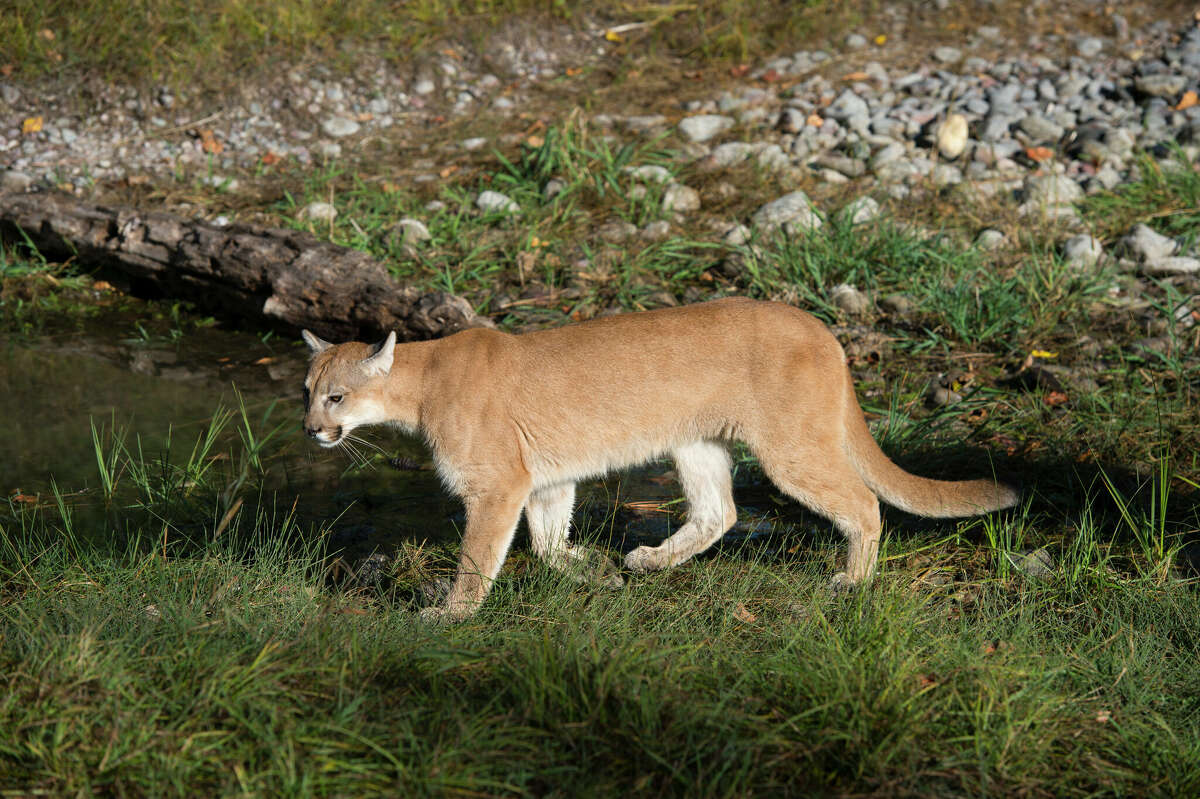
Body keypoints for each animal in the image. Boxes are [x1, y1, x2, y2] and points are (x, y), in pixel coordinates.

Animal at [300, 295, 1012, 619]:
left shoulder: (497, 485)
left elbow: (479, 557)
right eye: (305, 391)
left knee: (863, 501)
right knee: (719, 513)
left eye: (337, 397)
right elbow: (549, 540)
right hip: (694, 441)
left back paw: (853, 581)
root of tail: (819, 326)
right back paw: (648, 561)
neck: (420, 383)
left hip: (789, 446)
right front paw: (590, 572)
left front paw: (450, 614)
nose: (312, 430)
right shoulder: (541, 479)